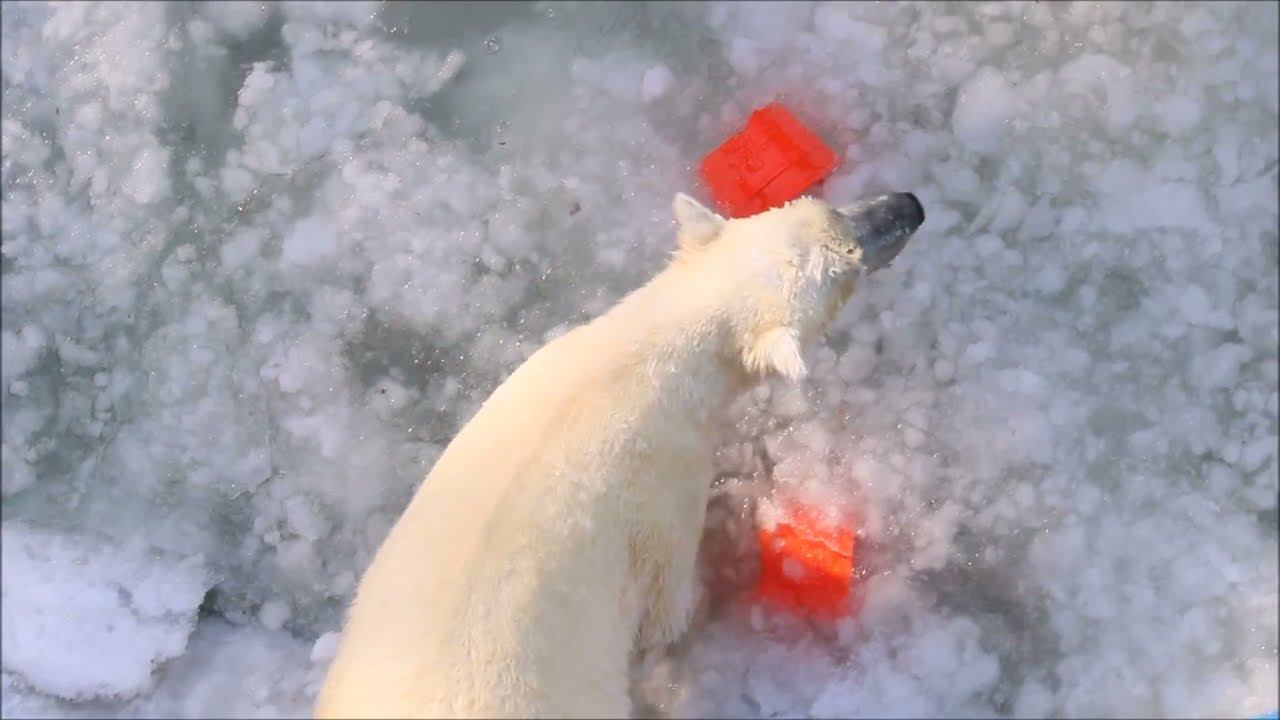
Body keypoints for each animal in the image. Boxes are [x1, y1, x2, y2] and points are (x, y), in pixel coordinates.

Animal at [314, 190, 926, 717]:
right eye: (846, 267)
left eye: (828, 206)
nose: (909, 206)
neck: (633, 360)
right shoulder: (665, 486)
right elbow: (665, 610)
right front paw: (715, 585)